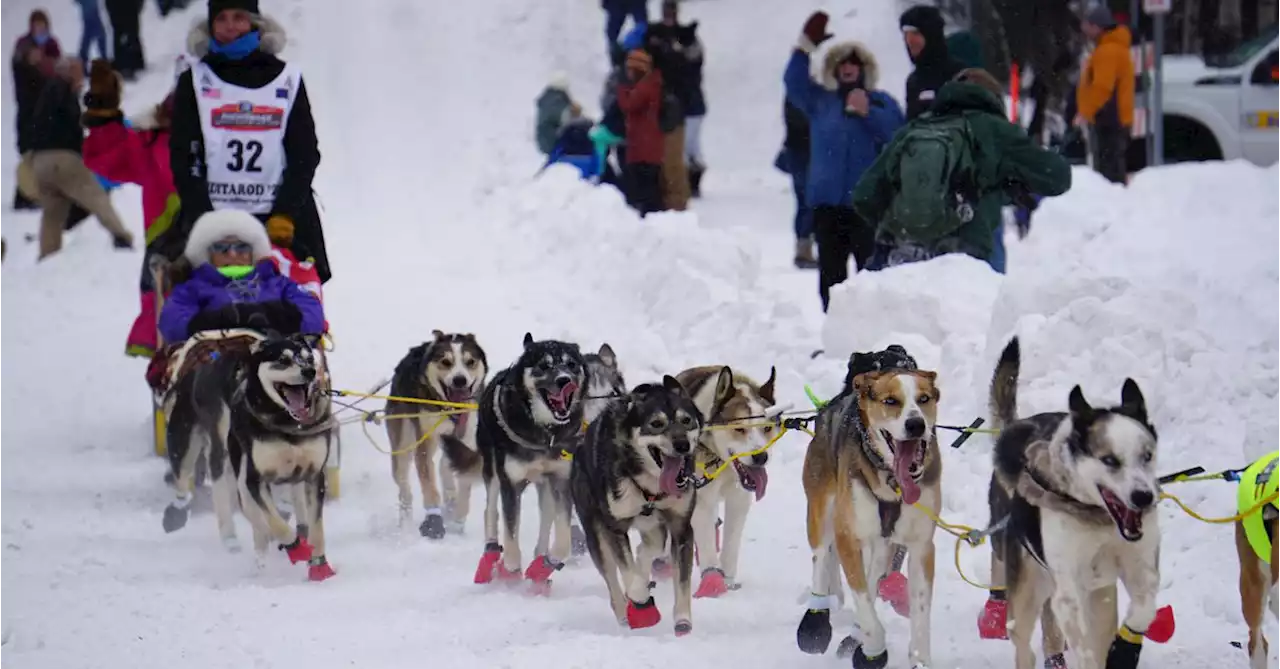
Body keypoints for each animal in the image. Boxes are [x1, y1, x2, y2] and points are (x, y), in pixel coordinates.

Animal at [381, 332, 486, 542]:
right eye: (446, 361)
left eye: (470, 362)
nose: (460, 380)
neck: (451, 411)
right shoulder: (424, 442)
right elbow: (428, 484)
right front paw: (433, 520)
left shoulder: (467, 439)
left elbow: (463, 480)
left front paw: (458, 517)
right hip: (402, 444)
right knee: (404, 485)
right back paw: (406, 522)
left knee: (445, 465)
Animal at [576, 378, 706, 637]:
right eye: (656, 424)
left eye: (686, 420)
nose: (682, 445)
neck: (651, 488)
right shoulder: (615, 529)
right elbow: (628, 573)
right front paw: (640, 599)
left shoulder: (681, 528)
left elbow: (682, 581)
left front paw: (683, 620)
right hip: (596, 534)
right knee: (613, 583)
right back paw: (624, 612)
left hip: (655, 528)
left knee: (647, 549)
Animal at [675, 363, 773, 598]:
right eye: (739, 429)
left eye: (766, 428)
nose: (761, 456)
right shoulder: (699, 499)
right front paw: (712, 581)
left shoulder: (739, 499)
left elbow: (731, 541)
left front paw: (727, 579)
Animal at [788, 350, 942, 669]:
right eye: (891, 401)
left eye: (924, 399)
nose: (916, 424)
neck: (892, 483)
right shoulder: (848, 536)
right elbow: (863, 602)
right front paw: (873, 648)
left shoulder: (921, 546)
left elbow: (919, 612)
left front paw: (920, 659)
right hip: (822, 509)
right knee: (821, 557)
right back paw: (815, 622)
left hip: (883, 542)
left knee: (873, 575)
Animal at [988, 340, 1162, 669]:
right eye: (1110, 460)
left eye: (1147, 456)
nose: (1144, 497)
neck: (1100, 520)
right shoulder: (1068, 594)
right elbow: (1084, 648)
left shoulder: (1141, 570)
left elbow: (1144, 609)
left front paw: (1124, 649)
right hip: (1028, 592)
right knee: (1023, 642)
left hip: (1101, 596)